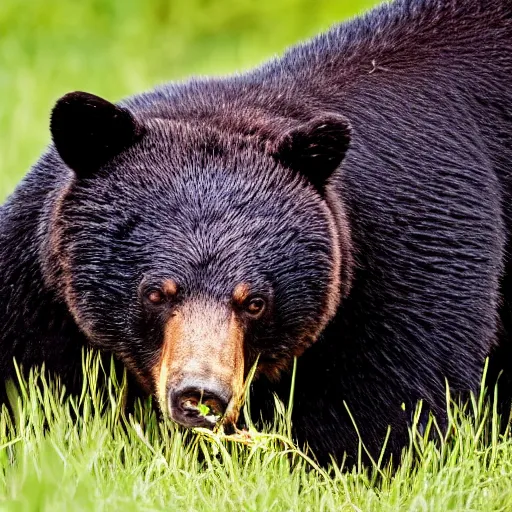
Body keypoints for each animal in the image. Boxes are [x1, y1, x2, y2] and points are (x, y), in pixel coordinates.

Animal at [1, 0, 512, 464]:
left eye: (255, 302)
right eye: (156, 292)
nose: (200, 397)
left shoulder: (416, 249)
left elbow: (390, 407)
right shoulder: (39, 279)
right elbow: (26, 371)